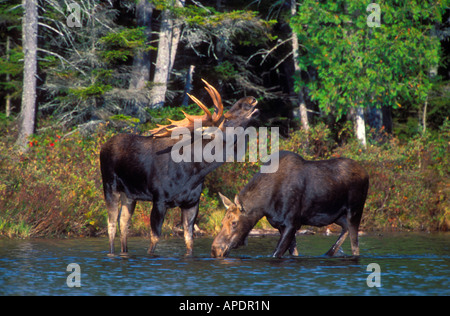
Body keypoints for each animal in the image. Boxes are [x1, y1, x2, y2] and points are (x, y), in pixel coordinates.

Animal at [100, 80, 258, 256]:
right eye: (227, 118)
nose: (251, 99)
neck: (195, 171)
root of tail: (103, 146)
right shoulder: (159, 200)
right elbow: (154, 238)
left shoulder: (191, 203)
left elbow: (189, 240)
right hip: (109, 186)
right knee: (111, 225)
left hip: (130, 195)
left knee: (123, 224)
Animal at [211, 151, 370, 260]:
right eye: (221, 222)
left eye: (234, 222)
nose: (215, 250)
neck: (265, 205)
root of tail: (367, 174)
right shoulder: (281, 226)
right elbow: (294, 253)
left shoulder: (292, 223)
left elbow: (276, 253)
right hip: (337, 215)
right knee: (345, 228)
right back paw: (329, 253)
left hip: (355, 210)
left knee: (355, 244)